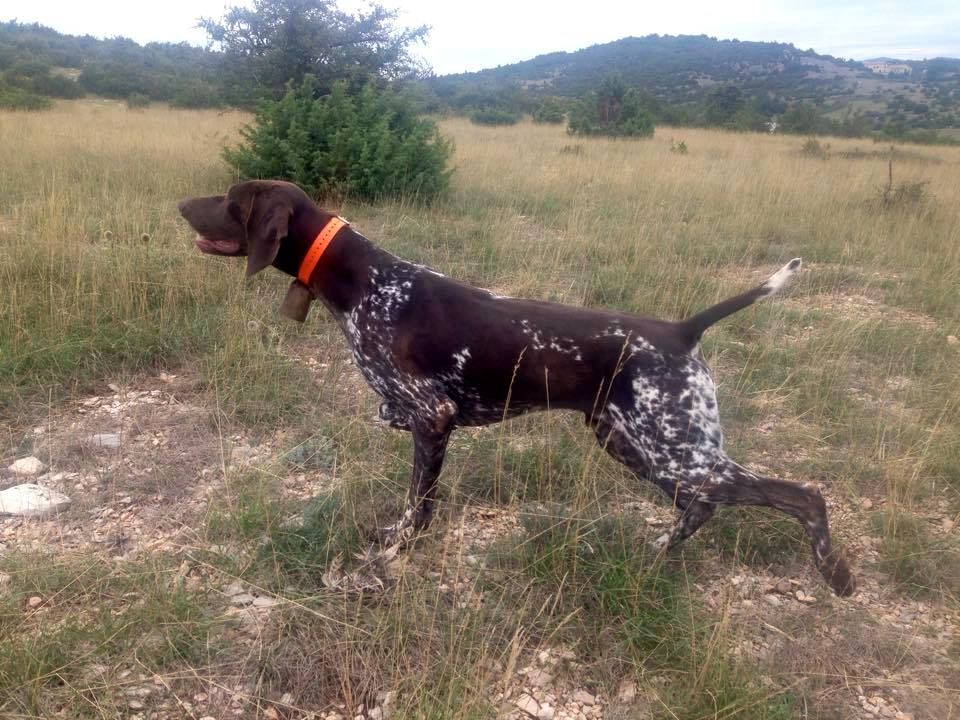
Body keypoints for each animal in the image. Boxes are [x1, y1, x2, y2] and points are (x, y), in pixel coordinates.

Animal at [180, 180, 856, 596]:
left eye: (230, 198)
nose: (182, 205)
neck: (367, 283)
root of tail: (680, 330)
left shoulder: (431, 415)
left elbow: (417, 507)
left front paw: (397, 550)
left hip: (675, 448)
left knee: (801, 496)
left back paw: (836, 573)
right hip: (633, 444)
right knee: (702, 505)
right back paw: (659, 549)